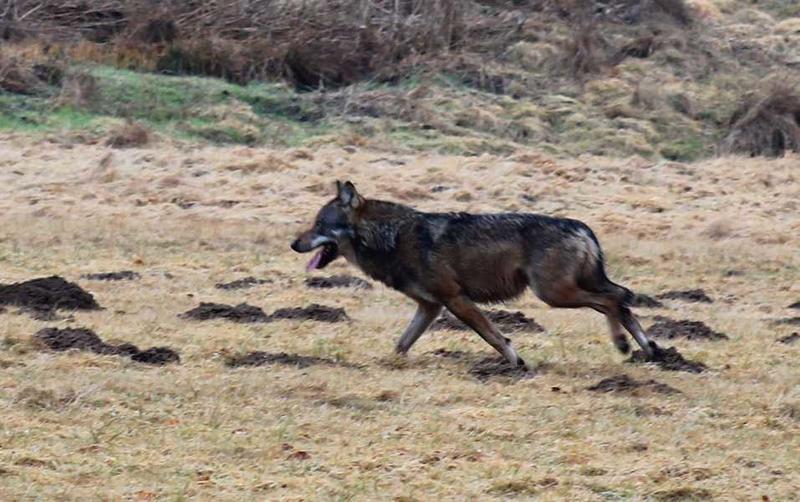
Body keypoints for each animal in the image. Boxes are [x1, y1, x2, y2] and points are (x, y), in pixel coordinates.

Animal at [290, 181, 652, 368]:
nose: (294, 244)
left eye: (320, 225)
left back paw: (625, 345)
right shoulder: (430, 306)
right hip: (566, 290)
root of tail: (582, 226)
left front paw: (516, 363)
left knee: (613, 300)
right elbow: (402, 343)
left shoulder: (455, 299)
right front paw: (390, 364)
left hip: (554, 294)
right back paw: (650, 351)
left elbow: (493, 336)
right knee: (621, 299)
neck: (393, 237)